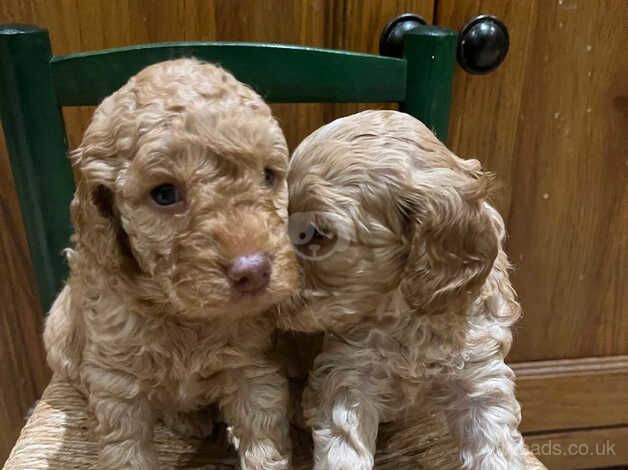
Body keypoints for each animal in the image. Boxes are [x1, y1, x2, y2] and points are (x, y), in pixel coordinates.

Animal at [44, 59, 300, 470]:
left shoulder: (252, 367)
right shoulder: (117, 385)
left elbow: (263, 440)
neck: (182, 317)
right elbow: (127, 452)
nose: (254, 271)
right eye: (165, 194)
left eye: (268, 176)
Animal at [282, 111, 544, 470]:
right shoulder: (350, 373)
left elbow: (495, 446)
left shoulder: (481, 375)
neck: (406, 312)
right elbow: (344, 444)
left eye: (317, 234)